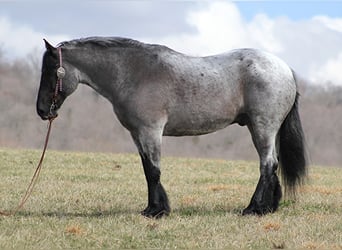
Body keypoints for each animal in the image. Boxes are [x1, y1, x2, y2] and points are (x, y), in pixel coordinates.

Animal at [36, 36, 308, 218]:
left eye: (51, 71)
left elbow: (154, 170)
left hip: (263, 127)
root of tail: (285, 70)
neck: (134, 73)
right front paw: (152, 208)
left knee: (267, 164)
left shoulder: (151, 132)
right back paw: (269, 207)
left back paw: (253, 208)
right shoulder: (138, 135)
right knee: (272, 164)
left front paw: (157, 211)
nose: (42, 110)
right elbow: (147, 170)